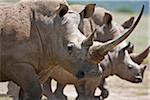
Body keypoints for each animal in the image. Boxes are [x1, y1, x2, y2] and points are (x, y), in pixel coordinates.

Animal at [0, 0, 135, 99]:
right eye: (69, 48)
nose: (95, 74)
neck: (50, 25)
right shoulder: (18, 63)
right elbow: (35, 90)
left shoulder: (44, 64)